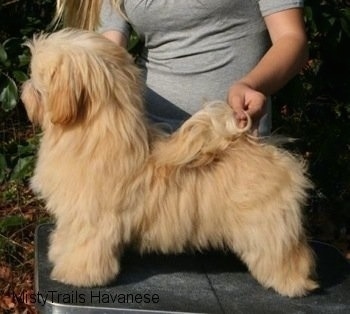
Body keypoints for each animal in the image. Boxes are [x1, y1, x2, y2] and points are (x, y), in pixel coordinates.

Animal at [21, 28, 318, 296]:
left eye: (38, 83)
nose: (24, 88)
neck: (91, 135)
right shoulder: (73, 217)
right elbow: (67, 238)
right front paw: (60, 254)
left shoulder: (92, 219)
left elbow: (85, 247)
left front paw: (77, 275)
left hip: (266, 226)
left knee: (285, 253)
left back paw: (293, 284)